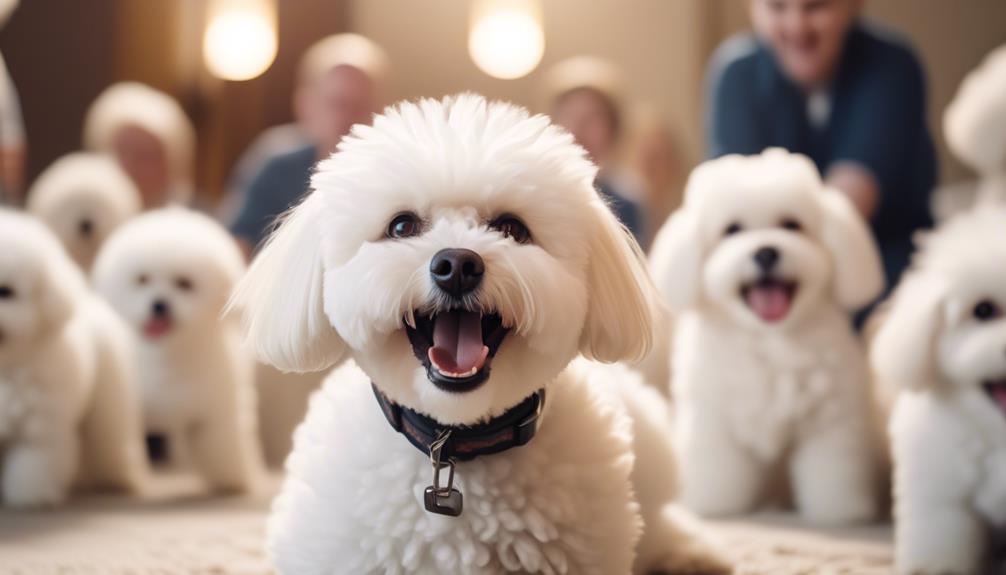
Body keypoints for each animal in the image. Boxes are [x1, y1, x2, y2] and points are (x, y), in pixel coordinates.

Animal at [0, 209, 146, 504]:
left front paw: (31, 497)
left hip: (106, 412)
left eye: (6, 291)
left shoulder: (40, 431)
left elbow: (32, 467)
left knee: (110, 448)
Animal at [92, 208, 261, 494]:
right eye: (142, 279)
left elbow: (223, 444)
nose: (159, 304)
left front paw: (230, 479)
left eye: (184, 283)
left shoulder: (216, 412)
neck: (166, 357)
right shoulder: (123, 409)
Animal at [651, 147, 881, 526]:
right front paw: (715, 505)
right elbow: (716, 464)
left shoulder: (831, 418)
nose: (766, 252)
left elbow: (833, 468)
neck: (768, 340)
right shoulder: (713, 418)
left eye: (792, 225)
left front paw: (839, 512)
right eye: (732, 230)